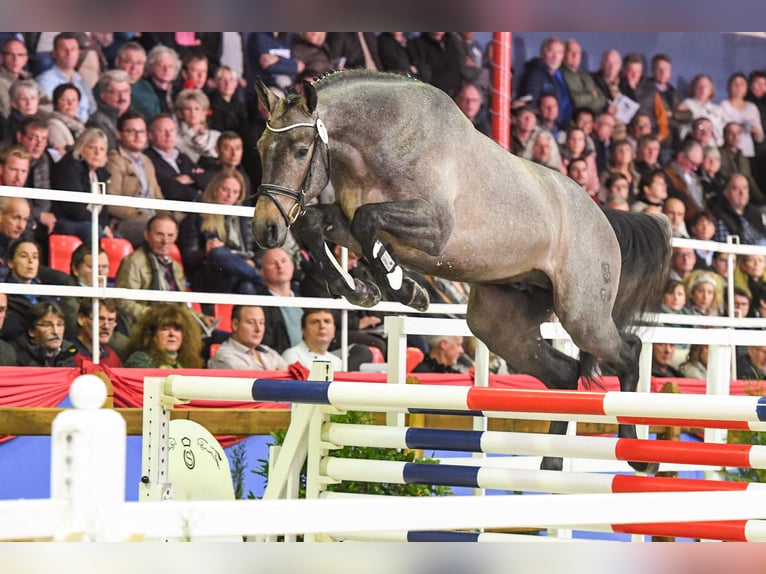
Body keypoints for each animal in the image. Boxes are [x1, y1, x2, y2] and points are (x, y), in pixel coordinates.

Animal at [252, 70, 671, 472]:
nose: (265, 229)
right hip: (499, 325)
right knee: (564, 375)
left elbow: (368, 221)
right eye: (259, 148)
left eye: (301, 150)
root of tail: (603, 216)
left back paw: (638, 454)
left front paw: (403, 288)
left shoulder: (434, 228)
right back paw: (552, 464)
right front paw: (365, 290)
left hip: (581, 315)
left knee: (628, 352)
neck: (385, 141)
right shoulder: (349, 221)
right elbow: (319, 223)